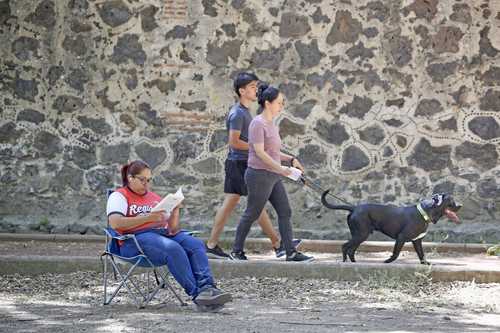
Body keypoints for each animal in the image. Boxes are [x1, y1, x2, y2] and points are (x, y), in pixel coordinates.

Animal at [320, 192, 460, 264]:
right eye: (451, 200)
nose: (461, 205)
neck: (424, 213)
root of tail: (354, 208)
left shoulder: (417, 241)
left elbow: (421, 254)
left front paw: (425, 264)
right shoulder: (401, 238)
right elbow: (396, 253)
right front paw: (387, 261)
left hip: (360, 235)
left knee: (351, 250)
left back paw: (354, 262)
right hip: (361, 234)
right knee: (345, 247)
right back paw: (345, 262)